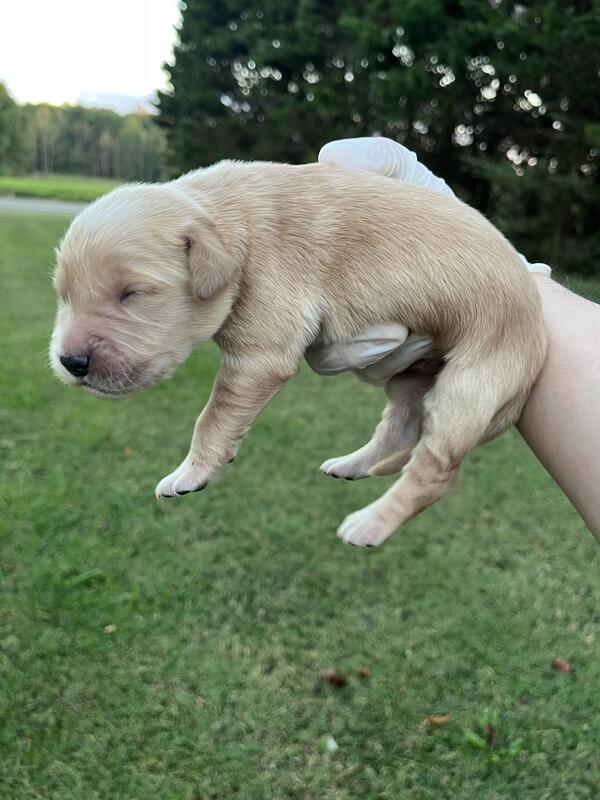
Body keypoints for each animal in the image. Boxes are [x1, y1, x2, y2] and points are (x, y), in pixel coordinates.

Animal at [50, 160, 547, 547]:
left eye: (132, 293)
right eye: (62, 294)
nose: (70, 363)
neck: (232, 222)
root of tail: (538, 336)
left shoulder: (260, 350)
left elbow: (211, 417)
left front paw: (188, 473)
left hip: (474, 379)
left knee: (436, 471)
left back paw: (369, 524)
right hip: (414, 372)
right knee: (401, 426)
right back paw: (351, 465)